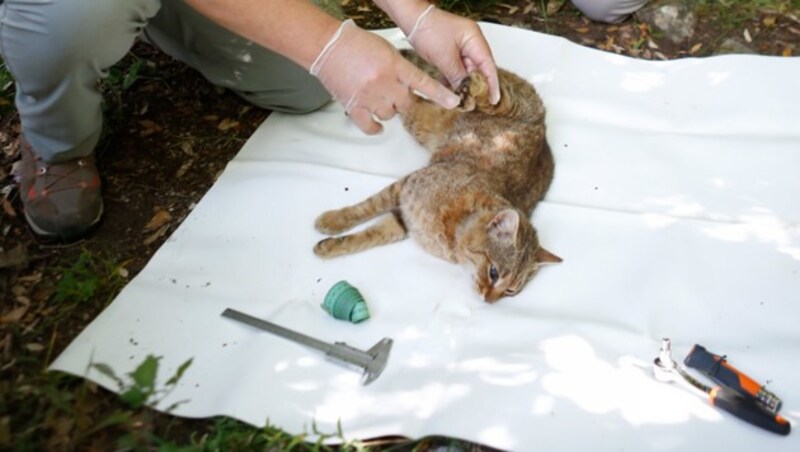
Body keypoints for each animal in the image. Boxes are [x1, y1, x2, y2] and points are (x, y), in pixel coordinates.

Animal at [312, 51, 564, 302]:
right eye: (493, 273)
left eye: (511, 291)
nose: (489, 300)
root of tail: (544, 127)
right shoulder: (406, 186)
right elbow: (366, 207)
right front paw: (334, 219)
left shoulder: (404, 217)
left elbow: (371, 235)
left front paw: (333, 246)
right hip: (503, 103)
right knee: (490, 91)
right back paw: (469, 90)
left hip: (418, 120)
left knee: (411, 97)